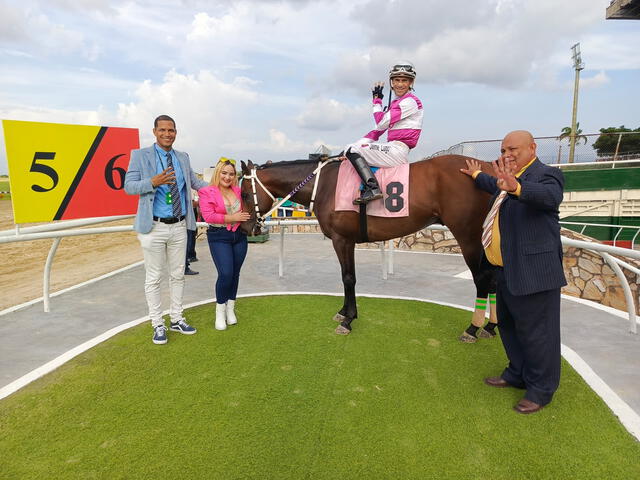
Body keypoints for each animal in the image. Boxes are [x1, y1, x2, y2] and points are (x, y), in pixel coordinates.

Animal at [240, 156, 496, 336]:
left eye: (243, 194)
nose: (245, 228)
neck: (323, 185)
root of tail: (486, 168)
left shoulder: (342, 239)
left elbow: (348, 278)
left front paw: (348, 319)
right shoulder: (347, 240)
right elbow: (346, 275)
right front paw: (344, 312)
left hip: (467, 235)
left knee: (482, 278)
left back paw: (473, 328)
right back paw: (490, 327)